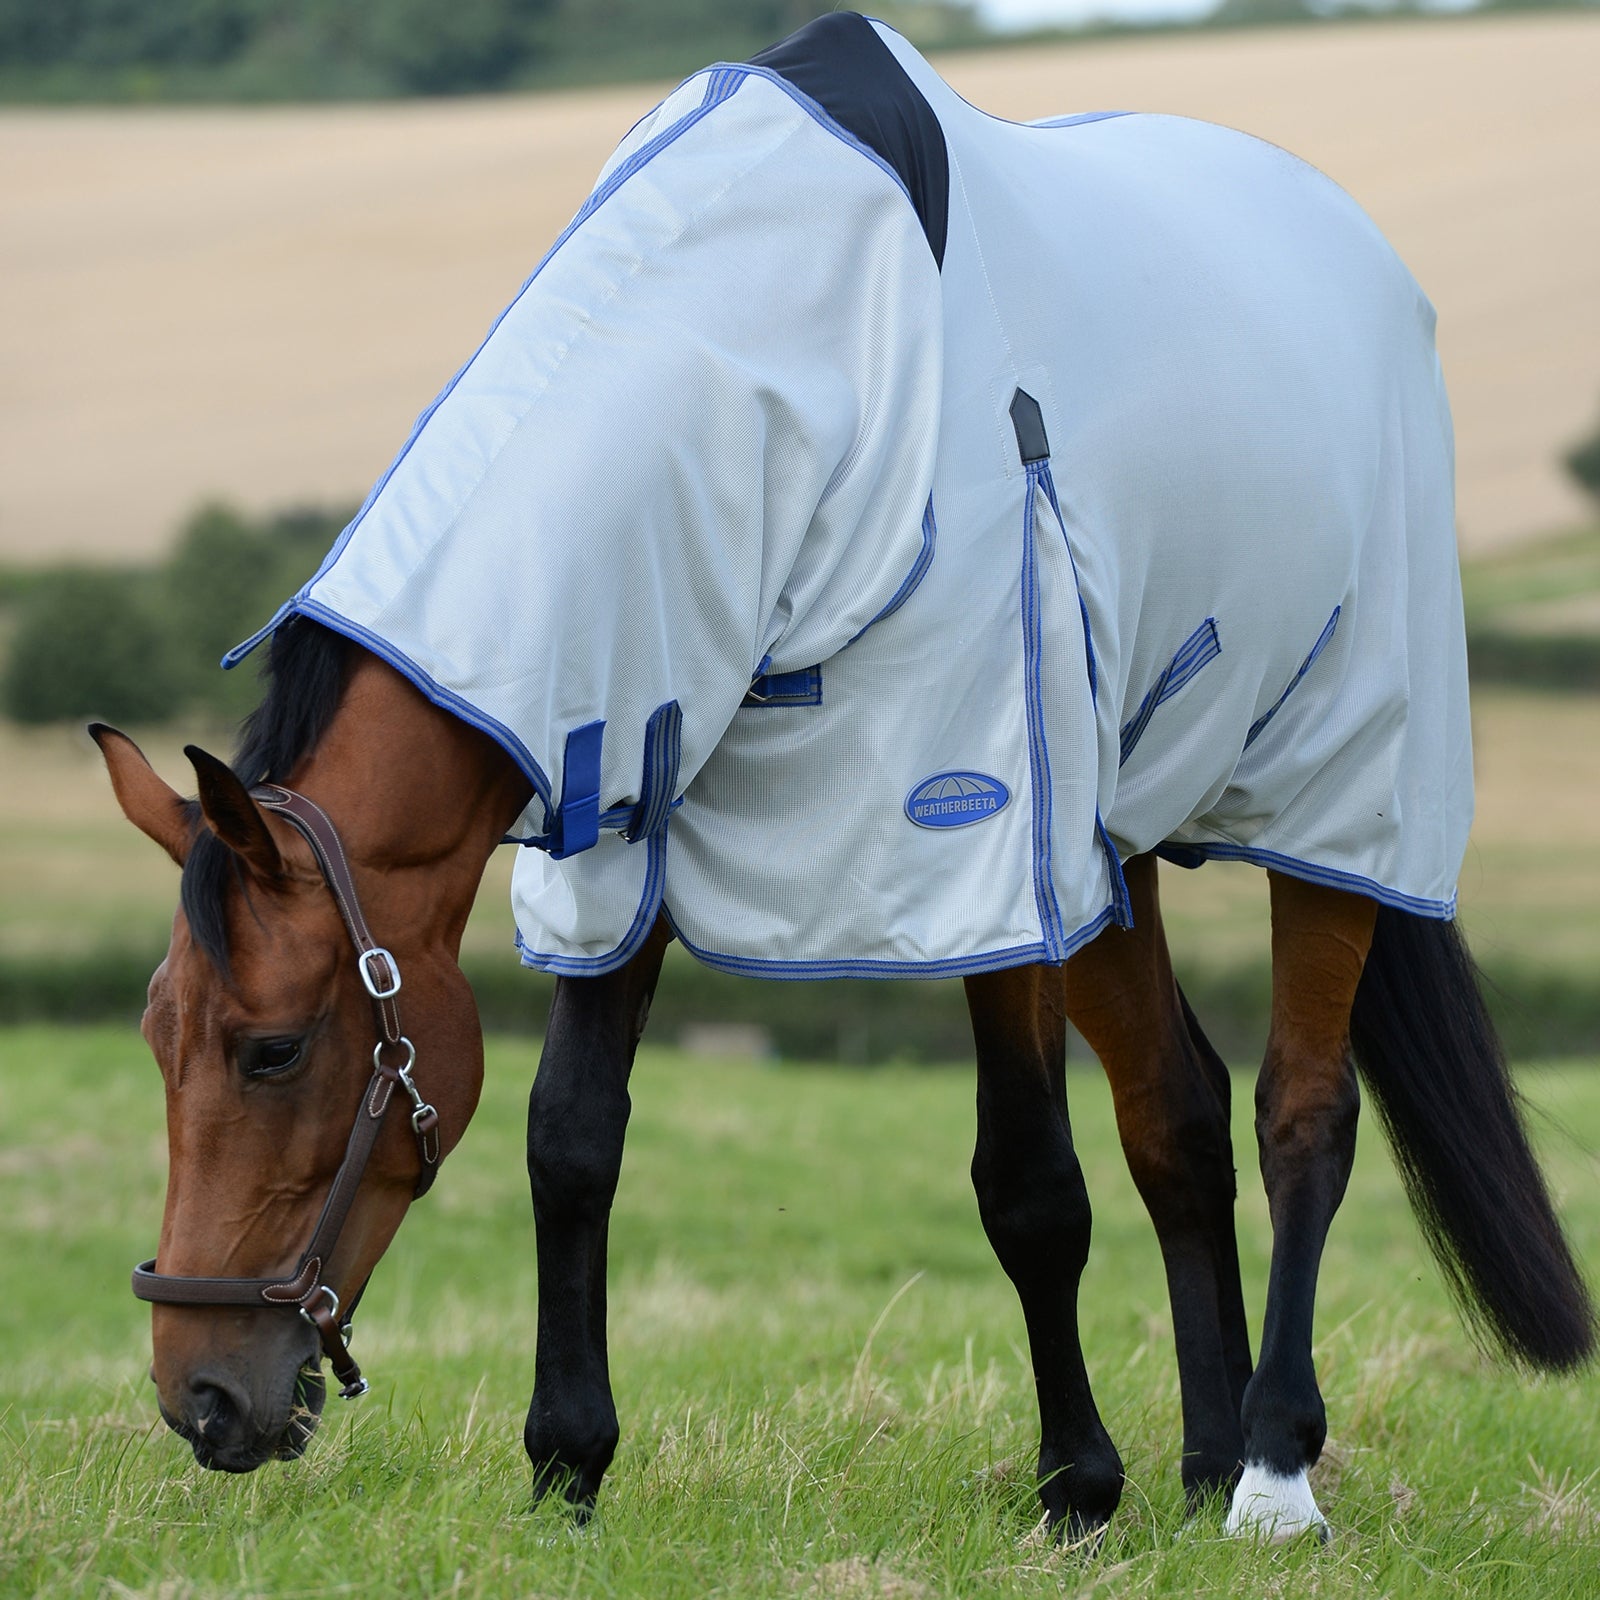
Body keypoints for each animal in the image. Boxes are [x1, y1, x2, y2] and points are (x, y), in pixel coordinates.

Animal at [95, 12, 1592, 1542]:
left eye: (273, 1049)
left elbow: (1029, 1183)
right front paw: (568, 1464)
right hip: (1109, 847)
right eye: (156, 1035)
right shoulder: (629, 804)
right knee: (1176, 1116)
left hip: (1340, 793)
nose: (200, 1398)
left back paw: (1276, 1475)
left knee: (1301, 1112)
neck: (775, 378)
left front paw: (1075, 1482)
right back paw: (1208, 1461)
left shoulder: (981, 837)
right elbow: (569, 1138)